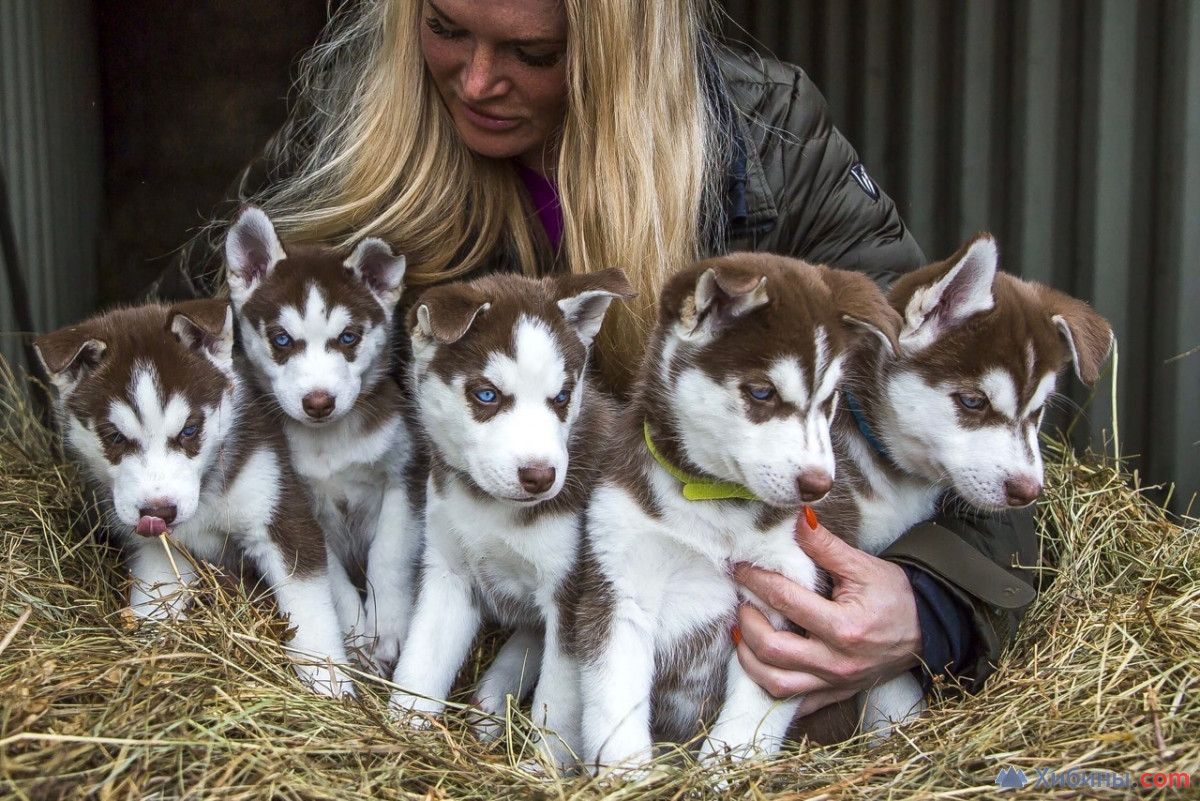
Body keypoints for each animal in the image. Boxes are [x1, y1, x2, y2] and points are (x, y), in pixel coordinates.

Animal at [35, 299, 352, 695]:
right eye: (115, 437)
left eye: (189, 430)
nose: (159, 511)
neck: (204, 500)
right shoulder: (159, 553)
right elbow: (154, 603)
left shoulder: (282, 519)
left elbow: (311, 615)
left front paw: (329, 686)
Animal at [223, 205, 424, 671]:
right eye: (281, 340)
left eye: (348, 338)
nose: (318, 402)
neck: (330, 442)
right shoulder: (297, 500)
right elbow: (330, 575)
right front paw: (354, 632)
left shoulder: (405, 475)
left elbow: (389, 555)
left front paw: (387, 627)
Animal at [391, 268, 638, 767]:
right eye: (486, 395)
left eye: (562, 397)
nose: (540, 476)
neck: (492, 509)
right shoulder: (449, 569)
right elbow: (422, 659)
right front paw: (400, 726)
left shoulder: (572, 593)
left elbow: (559, 700)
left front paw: (543, 766)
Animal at [573, 256, 902, 767]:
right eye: (762, 392)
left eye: (828, 400)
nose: (818, 486)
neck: (712, 501)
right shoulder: (619, 585)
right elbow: (614, 703)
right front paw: (625, 775)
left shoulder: (792, 590)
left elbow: (749, 720)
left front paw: (725, 771)